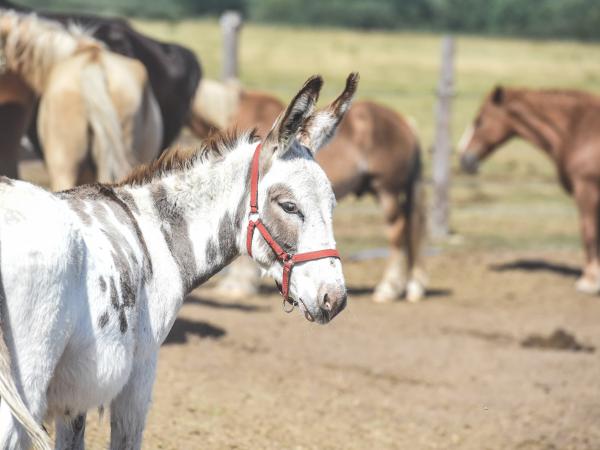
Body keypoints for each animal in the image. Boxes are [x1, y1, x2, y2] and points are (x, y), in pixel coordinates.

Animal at [0, 74, 356, 450]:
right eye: (289, 206)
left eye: (332, 206)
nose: (335, 299)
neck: (154, 232)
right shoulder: (138, 374)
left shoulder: (76, 397)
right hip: (31, 371)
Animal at [460, 87, 600, 296]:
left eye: (480, 120)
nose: (463, 158)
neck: (579, 129)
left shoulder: (586, 191)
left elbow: (588, 232)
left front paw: (589, 282)